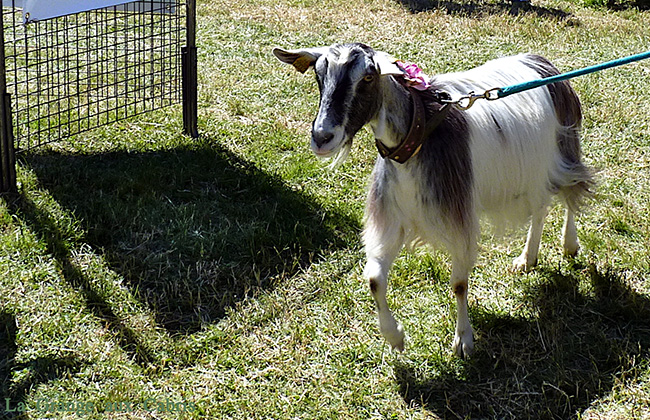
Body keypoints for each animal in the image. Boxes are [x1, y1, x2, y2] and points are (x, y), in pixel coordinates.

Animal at [270, 43, 588, 358]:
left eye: (368, 77)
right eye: (319, 75)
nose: (322, 137)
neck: (418, 135)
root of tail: (543, 64)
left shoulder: (458, 218)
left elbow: (459, 284)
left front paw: (463, 340)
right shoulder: (393, 218)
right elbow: (374, 278)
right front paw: (395, 337)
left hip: (563, 150)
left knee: (572, 190)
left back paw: (569, 243)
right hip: (531, 172)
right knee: (541, 207)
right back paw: (527, 259)